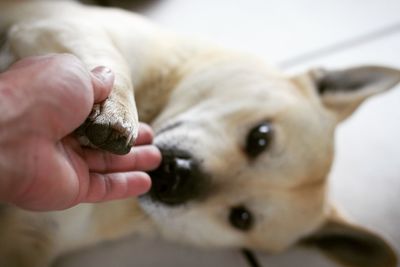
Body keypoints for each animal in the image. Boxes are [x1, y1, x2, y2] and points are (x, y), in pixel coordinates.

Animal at [0, 1, 400, 266]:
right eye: (260, 137)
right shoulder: (55, 20)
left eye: (241, 218)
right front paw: (118, 109)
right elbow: (111, 60)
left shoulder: (31, 239)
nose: (174, 176)